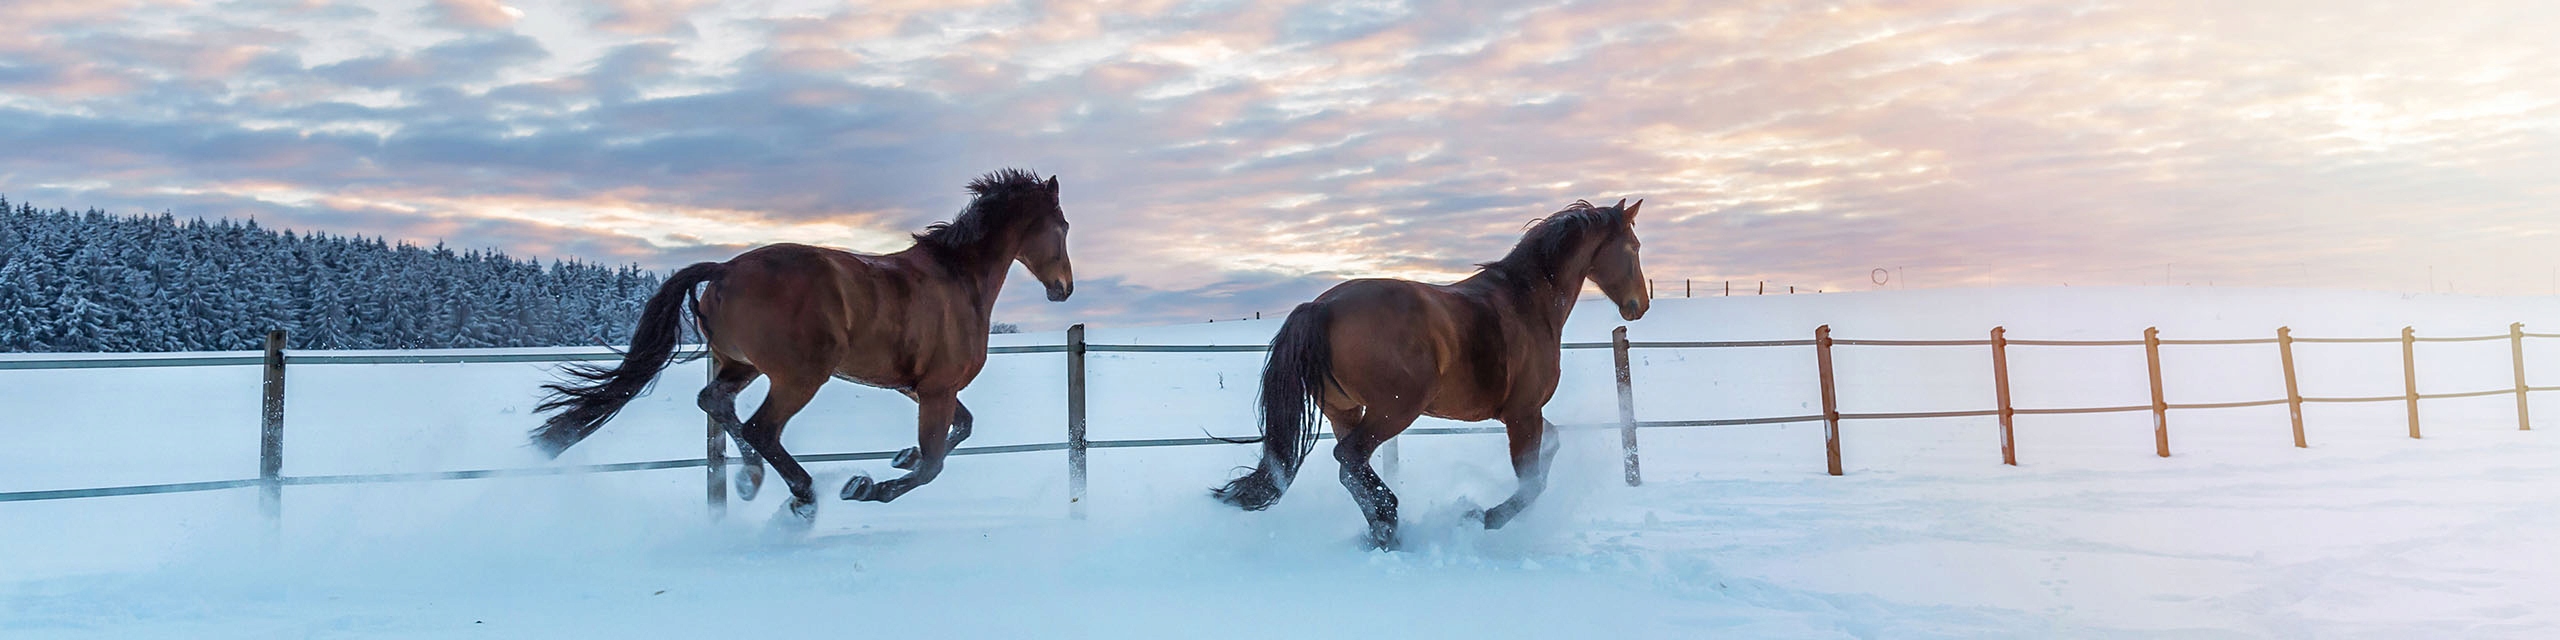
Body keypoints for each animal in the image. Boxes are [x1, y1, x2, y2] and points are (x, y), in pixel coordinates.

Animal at [529, 167, 1070, 522]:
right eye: (1062, 226)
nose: (1063, 288)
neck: (958, 279)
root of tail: (723, 271)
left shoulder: (920, 387)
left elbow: (963, 429)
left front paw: (899, 456)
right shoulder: (936, 388)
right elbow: (935, 462)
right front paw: (866, 487)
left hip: (740, 364)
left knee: (715, 402)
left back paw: (750, 480)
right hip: (800, 376)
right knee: (761, 427)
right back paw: (804, 495)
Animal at [1223, 197, 1658, 547]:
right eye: (1634, 247)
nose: (1640, 305)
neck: (1527, 299)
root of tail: (1320, 307)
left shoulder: (1527, 414)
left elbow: (1550, 449)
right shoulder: (1522, 414)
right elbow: (1532, 481)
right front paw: (1484, 517)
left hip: (1344, 411)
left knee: (1349, 468)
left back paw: (1383, 530)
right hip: (1394, 410)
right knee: (1349, 458)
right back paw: (1389, 521)